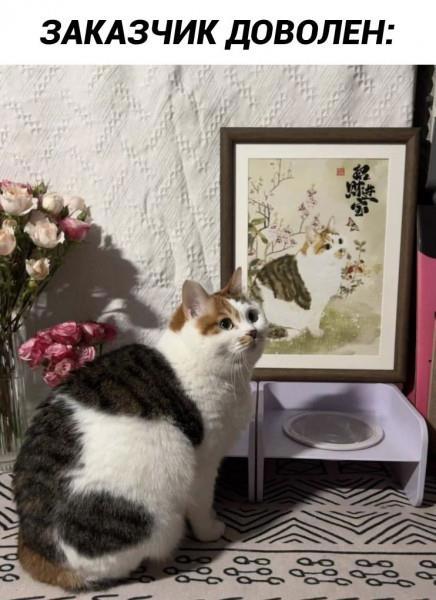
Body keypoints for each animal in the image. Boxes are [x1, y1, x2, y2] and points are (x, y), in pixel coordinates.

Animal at [14, 268, 267, 591]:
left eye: (253, 315)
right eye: (225, 324)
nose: (253, 332)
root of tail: (40, 553)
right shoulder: (205, 461)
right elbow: (201, 503)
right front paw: (210, 529)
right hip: (162, 512)